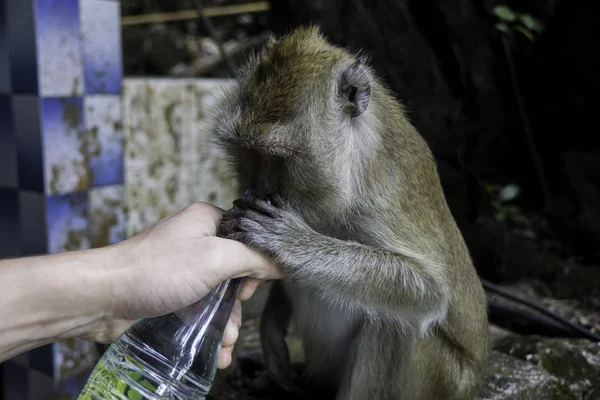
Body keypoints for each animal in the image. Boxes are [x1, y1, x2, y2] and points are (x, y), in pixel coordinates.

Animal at [213, 25, 490, 400]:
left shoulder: (383, 199)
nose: (256, 191)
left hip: (446, 382)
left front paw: (290, 241)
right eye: (250, 154)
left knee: (397, 325)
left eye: (276, 158)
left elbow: (428, 290)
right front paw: (271, 333)